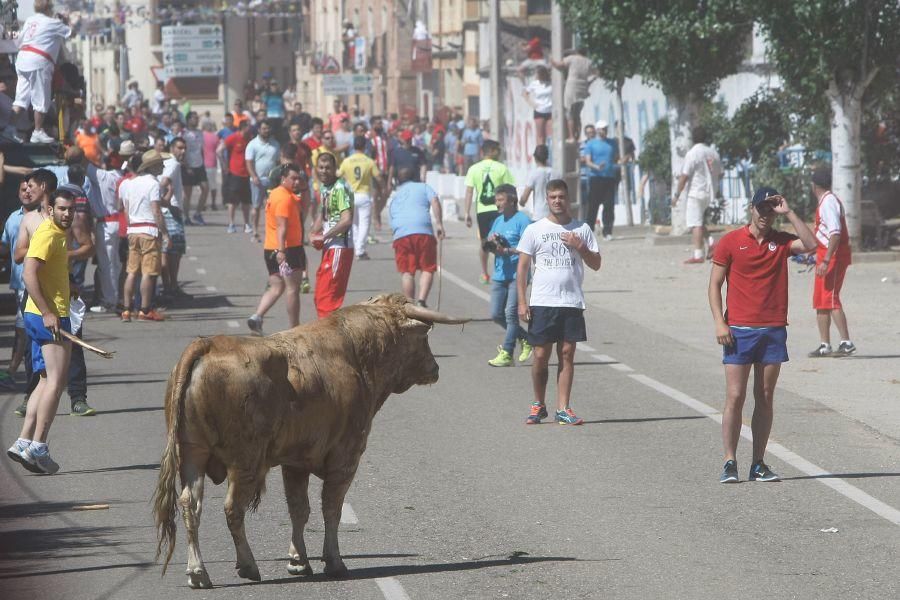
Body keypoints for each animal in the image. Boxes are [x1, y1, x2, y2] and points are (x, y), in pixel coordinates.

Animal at [152, 292, 468, 588]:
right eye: (423, 338)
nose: (435, 368)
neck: (356, 354)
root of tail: (208, 345)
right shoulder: (345, 458)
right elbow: (331, 508)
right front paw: (334, 561)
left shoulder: (296, 463)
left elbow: (298, 509)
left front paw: (298, 560)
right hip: (245, 462)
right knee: (233, 509)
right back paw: (247, 565)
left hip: (192, 454)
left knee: (190, 505)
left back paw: (198, 572)